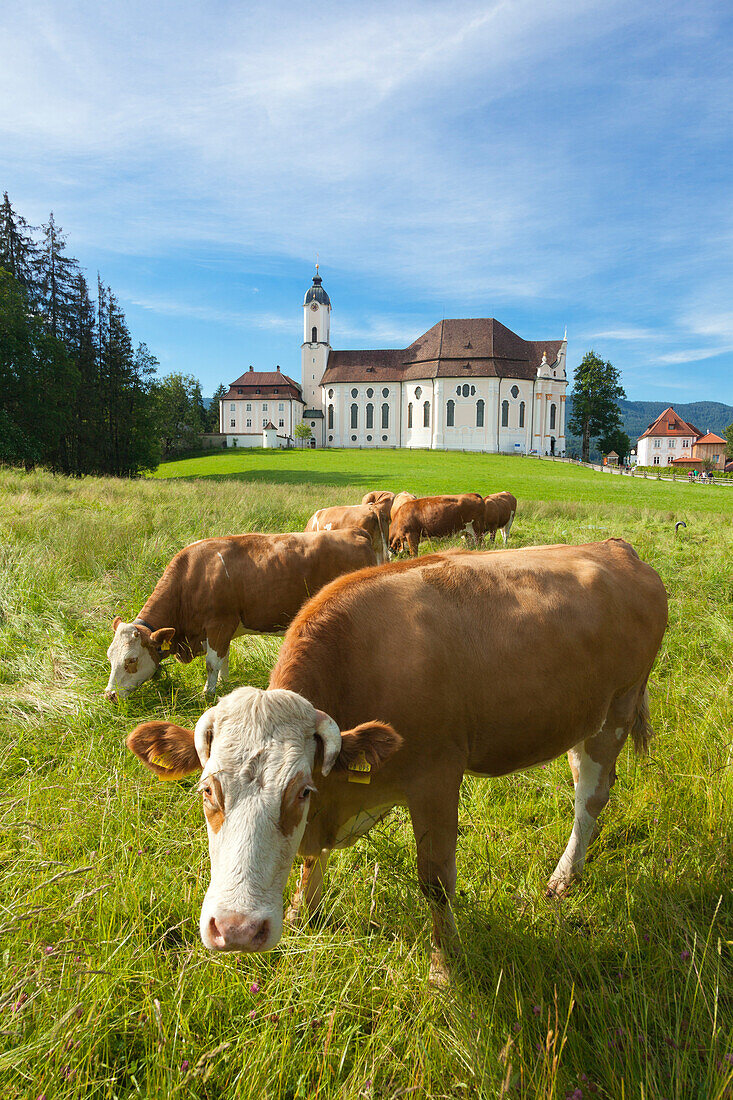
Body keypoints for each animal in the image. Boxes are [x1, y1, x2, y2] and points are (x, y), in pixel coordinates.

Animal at [104, 530, 376, 699]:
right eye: (109, 657)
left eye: (131, 660)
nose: (110, 695)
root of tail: (356, 531)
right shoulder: (222, 631)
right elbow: (223, 658)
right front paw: (223, 684)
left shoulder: (219, 624)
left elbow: (211, 663)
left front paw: (207, 693)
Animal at [127, 539, 669, 981]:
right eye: (207, 789)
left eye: (301, 791)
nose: (237, 930)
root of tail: (617, 548)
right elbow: (312, 858)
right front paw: (303, 912)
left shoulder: (436, 778)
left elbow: (436, 882)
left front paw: (445, 967)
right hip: (584, 718)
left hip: (617, 711)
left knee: (590, 798)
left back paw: (562, 878)